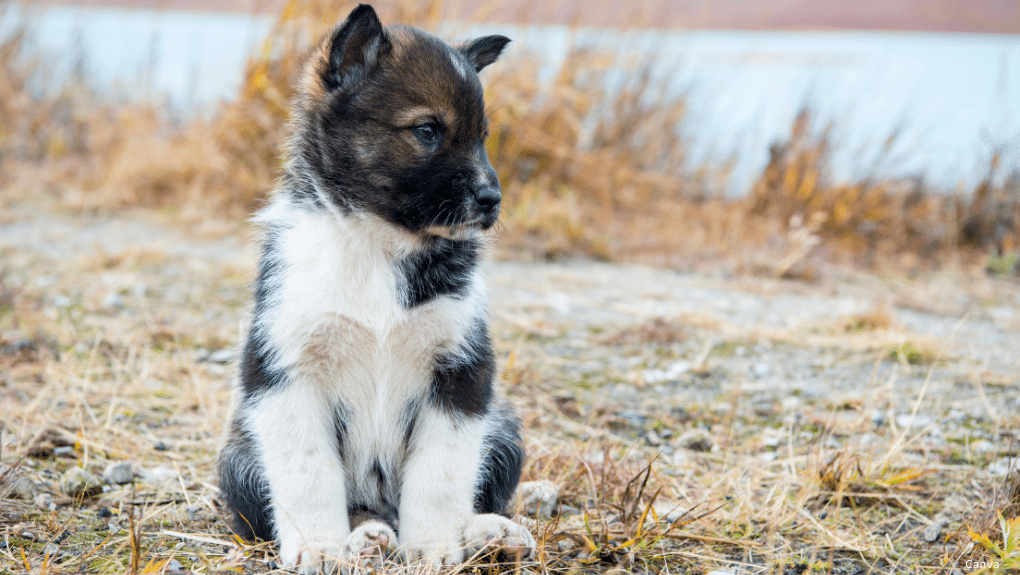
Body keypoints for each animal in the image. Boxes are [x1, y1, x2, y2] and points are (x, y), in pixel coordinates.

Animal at [215, 3, 534, 570]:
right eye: (428, 130)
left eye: (483, 136)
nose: (492, 200)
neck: (377, 243)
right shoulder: (285, 372)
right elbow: (308, 474)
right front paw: (318, 548)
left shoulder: (461, 374)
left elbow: (440, 473)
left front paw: (433, 545)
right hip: (239, 462)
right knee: (350, 508)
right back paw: (365, 538)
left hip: (504, 430)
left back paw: (487, 532)